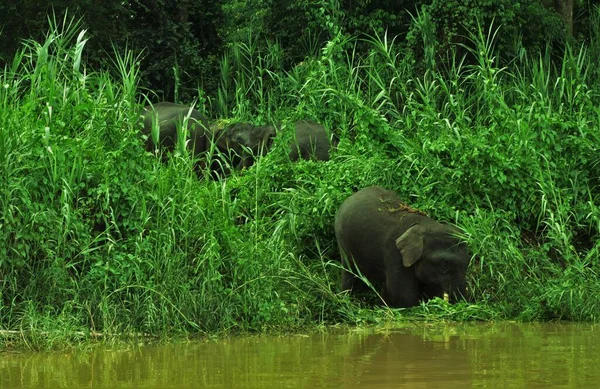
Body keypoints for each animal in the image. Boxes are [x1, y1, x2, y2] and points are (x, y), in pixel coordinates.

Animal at [332, 186, 468, 308]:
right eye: (443, 265)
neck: (424, 225)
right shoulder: (394, 253)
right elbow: (403, 296)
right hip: (342, 238)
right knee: (348, 271)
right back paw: (344, 299)